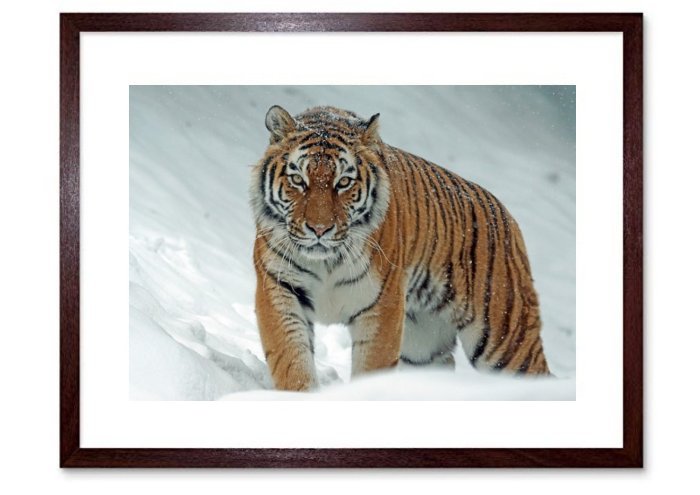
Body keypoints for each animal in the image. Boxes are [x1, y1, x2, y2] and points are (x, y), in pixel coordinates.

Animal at [250, 105, 550, 391]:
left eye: (343, 182)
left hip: (505, 339)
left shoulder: (382, 305)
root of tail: (507, 217)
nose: (319, 229)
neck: (326, 261)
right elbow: (291, 359)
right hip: (423, 345)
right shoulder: (279, 288)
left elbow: (371, 367)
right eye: (298, 180)